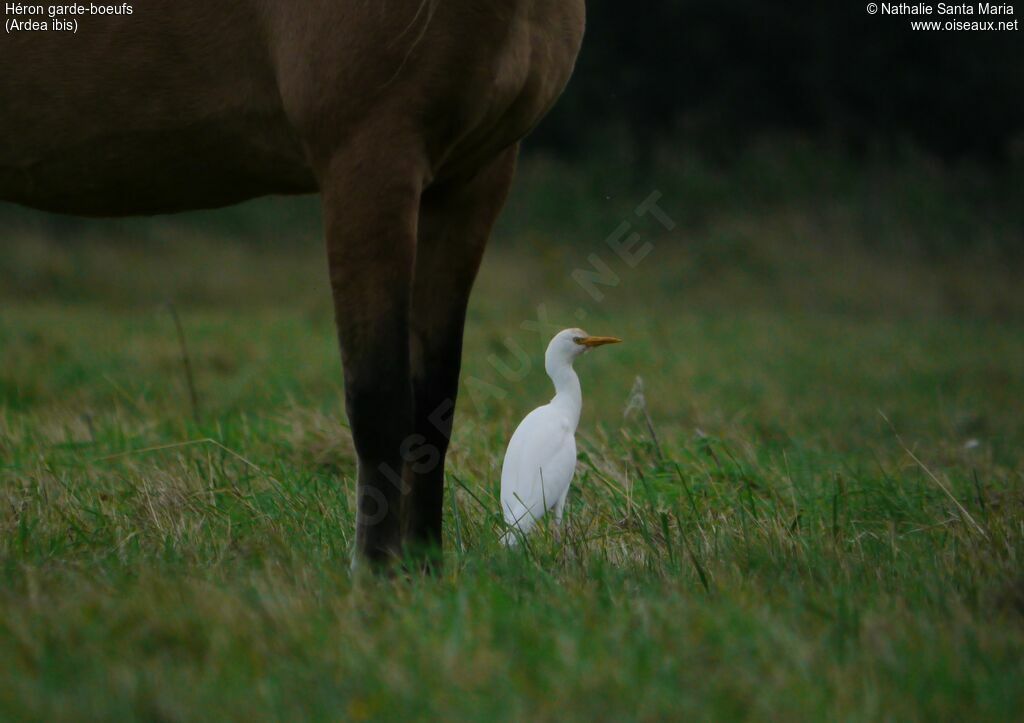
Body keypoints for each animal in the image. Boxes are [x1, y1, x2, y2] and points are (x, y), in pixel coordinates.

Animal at [2, 0, 585, 565]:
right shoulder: (370, 156)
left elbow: (433, 404)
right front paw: (378, 574)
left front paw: (425, 566)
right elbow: (378, 395)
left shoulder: (474, 176)